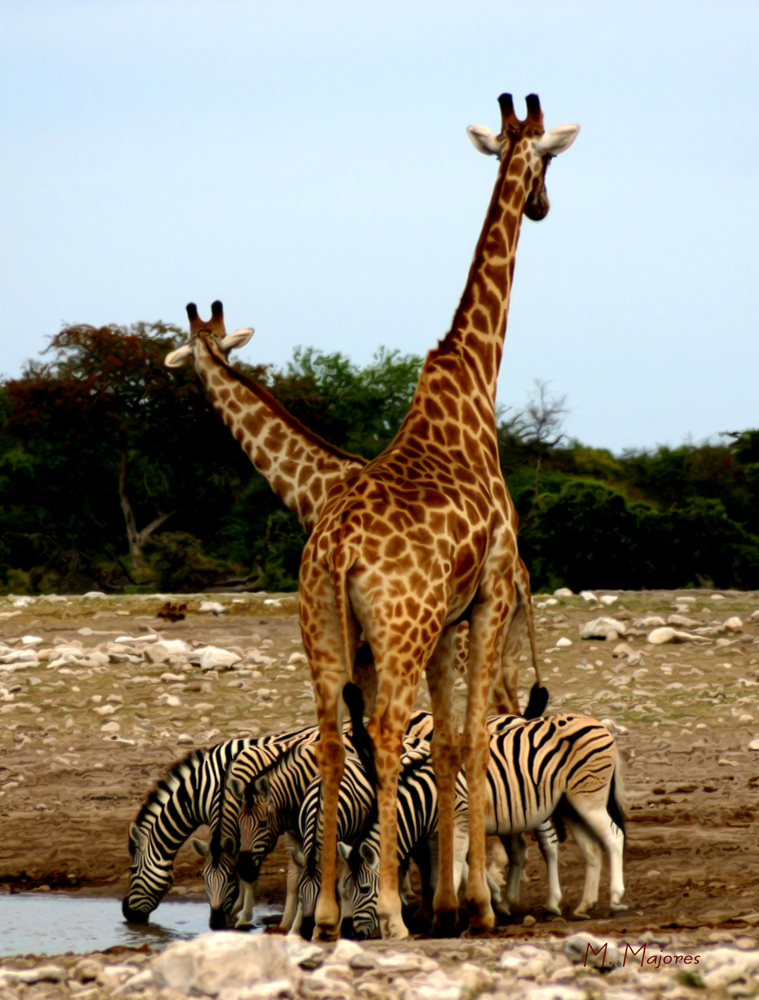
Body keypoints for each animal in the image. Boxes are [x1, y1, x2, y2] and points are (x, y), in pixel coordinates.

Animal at [300, 92, 580, 936]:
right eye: (549, 160)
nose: (542, 205)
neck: (473, 384)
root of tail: (336, 549)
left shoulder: (448, 620)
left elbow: (452, 741)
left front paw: (452, 901)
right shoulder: (487, 596)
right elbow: (477, 736)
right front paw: (477, 907)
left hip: (328, 631)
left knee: (332, 738)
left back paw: (325, 916)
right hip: (398, 627)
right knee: (386, 730)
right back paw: (389, 913)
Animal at [342, 712, 628, 936]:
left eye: (364, 889)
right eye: (344, 888)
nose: (355, 932)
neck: (425, 797)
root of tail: (598, 722)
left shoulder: (458, 823)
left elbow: (453, 868)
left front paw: (446, 918)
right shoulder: (434, 833)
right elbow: (444, 871)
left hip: (587, 799)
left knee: (613, 838)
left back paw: (614, 900)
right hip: (568, 804)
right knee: (592, 849)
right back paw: (584, 906)